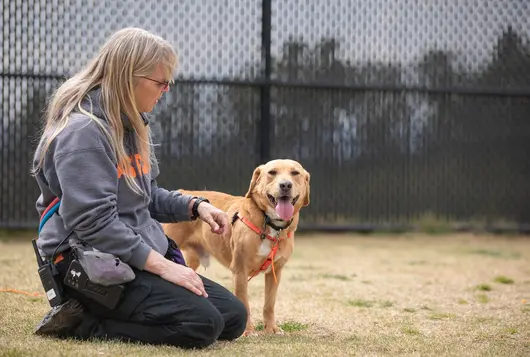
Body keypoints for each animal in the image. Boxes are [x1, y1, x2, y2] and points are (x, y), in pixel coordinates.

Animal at [162, 159, 310, 334]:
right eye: (272, 172)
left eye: (295, 173)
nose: (285, 185)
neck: (270, 224)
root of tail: (182, 191)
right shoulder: (240, 270)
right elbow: (244, 302)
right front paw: (248, 331)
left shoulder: (275, 272)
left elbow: (269, 304)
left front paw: (271, 328)